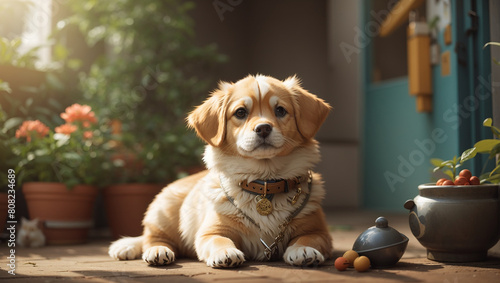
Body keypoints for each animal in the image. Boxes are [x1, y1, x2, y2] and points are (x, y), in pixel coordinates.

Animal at [110, 75, 336, 268]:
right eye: (240, 113)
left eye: (280, 110)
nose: (263, 128)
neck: (264, 182)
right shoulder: (210, 232)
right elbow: (218, 240)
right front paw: (225, 253)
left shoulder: (319, 231)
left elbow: (309, 238)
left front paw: (304, 250)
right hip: (162, 215)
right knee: (152, 238)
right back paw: (157, 251)